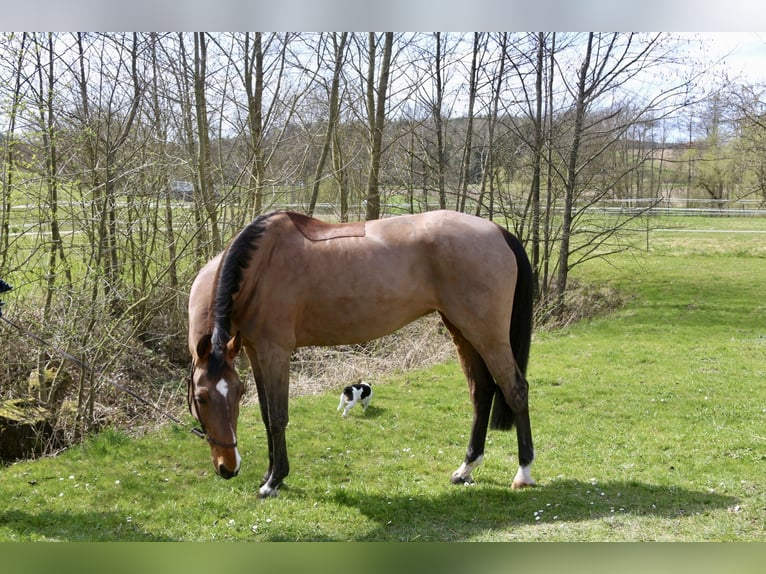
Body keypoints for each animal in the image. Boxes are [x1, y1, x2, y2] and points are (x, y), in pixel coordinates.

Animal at [187, 209, 535, 498]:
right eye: (203, 398)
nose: (228, 467)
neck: (262, 265)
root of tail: (497, 230)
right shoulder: (255, 350)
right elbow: (264, 414)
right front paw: (270, 475)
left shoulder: (276, 353)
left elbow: (277, 418)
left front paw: (274, 481)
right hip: (462, 331)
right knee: (482, 392)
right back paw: (466, 469)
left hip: (487, 333)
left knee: (515, 390)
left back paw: (523, 473)